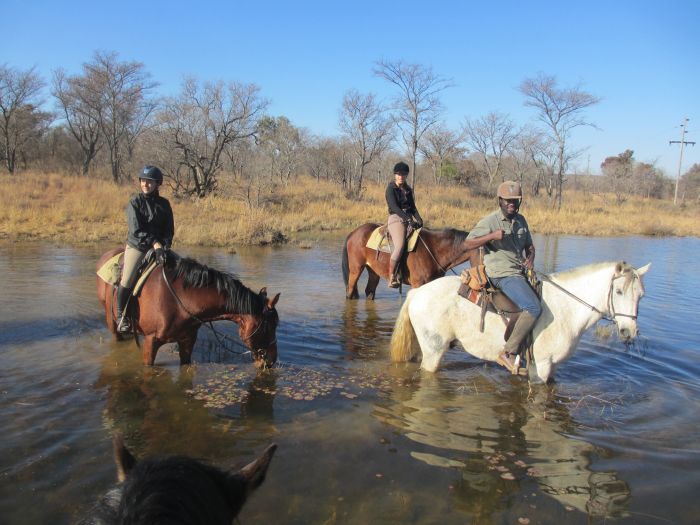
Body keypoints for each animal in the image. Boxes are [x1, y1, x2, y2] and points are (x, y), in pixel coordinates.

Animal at [96, 248, 282, 366]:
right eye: (270, 325)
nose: (271, 360)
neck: (180, 300)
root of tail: (105, 256)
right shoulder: (151, 341)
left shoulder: (187, 341)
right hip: (111, 321)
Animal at [340, 222, 482, 298]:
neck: (433, 249)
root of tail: (354, 232)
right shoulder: (417, 284)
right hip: (356, 269)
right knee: (350, 290)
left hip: (373, 271)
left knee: (369, 291)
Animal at [388, 260, 652, 380]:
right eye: (619, 292)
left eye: (641, 295)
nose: (629, 331)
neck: (567, 308)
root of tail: (416, 293)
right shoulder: (541, 367)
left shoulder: (552, 367)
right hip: (434, 350)